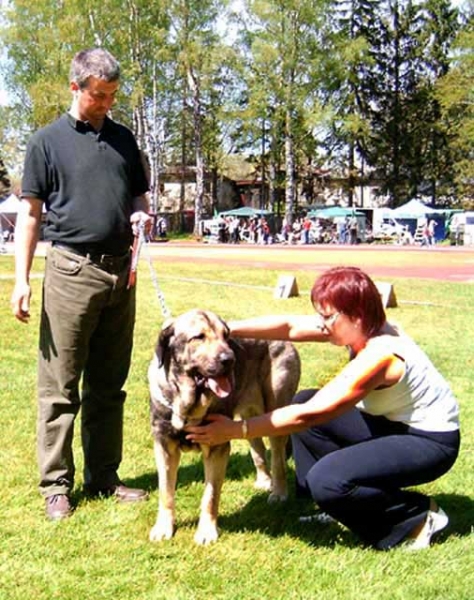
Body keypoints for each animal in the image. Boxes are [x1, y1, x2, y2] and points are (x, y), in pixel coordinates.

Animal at [148, 310, 300, 544]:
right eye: (198, 337)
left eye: (226, 336)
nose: (229, 359)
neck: (188, 404)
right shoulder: (164, 445)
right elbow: (166, 491)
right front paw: (163, 528)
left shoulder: (217, 446)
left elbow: (210, 495)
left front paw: (206, 532)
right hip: (250, 417)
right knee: (258, 450)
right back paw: (264, 480)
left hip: (276, 410)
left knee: (278, 458)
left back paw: (279, 493)